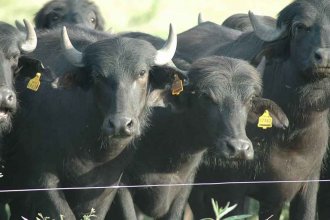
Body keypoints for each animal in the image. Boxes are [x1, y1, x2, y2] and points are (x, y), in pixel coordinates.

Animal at [2, 24, 187, 218]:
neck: (91, 150)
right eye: (98, 75)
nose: (120, 124)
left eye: (142, 73)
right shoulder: (42, 178)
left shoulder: (106, 186)